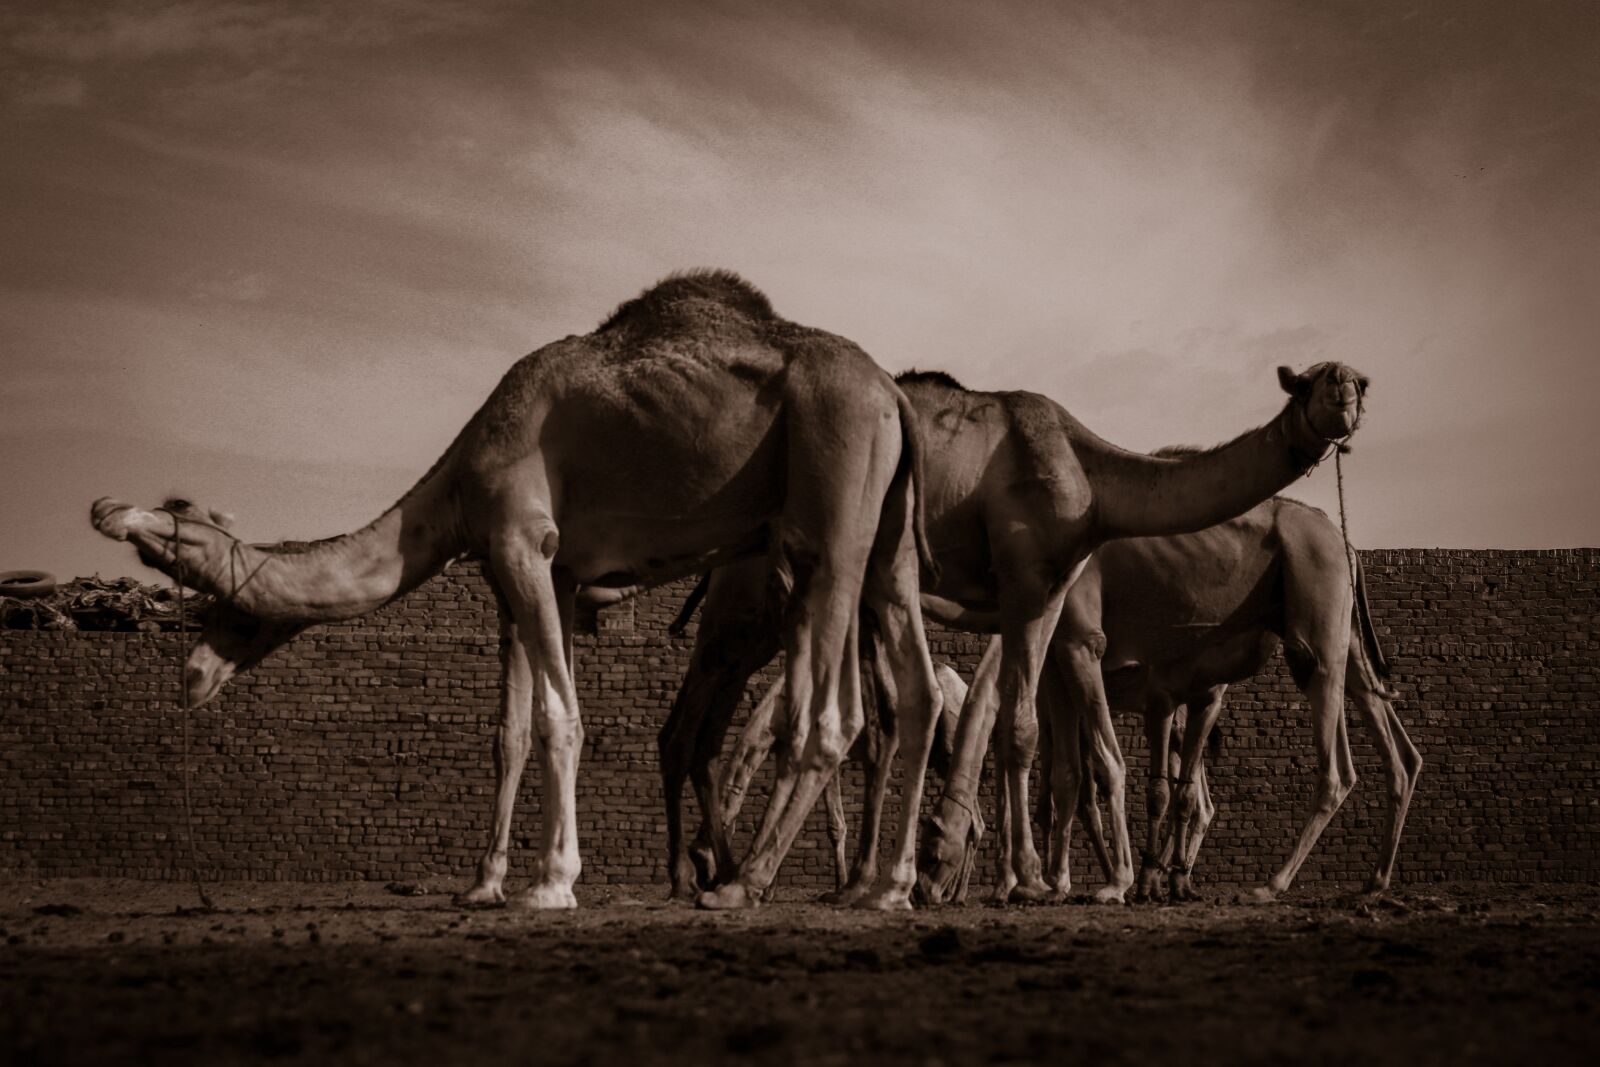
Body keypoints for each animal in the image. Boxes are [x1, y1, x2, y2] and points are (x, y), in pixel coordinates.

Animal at [90, 270, 945, 911]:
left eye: (230, 605)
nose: (191, 675)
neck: (460, 475)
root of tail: (892, 396)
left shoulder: (520, 539)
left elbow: (559, 717)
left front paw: (552, 882)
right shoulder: (540, 574)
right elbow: (510, 730)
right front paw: (484, 882)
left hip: (830, 512)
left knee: (836, 710)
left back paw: (744, 884)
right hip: (888, 541)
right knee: (920, 687)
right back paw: (888, 888)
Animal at [660, 361, 1370, 907]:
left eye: (1359, 380)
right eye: (1308, 382)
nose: (1344, 392)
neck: (1091, 478)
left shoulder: (1044, 593)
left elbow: (1022, 737)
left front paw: (1029, 879)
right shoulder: (1037, 592)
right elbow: (1055, 746)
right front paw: (1071, 880)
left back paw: (722, 868)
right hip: (750, 602)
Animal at [925, 495, 1423, 906]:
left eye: (933, 842)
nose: (926, 889)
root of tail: (1346, 545)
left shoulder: (1081, 646)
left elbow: (1098, 768)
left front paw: (1108, 880)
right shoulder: (1060, 670)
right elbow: (1066, 778)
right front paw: (1051, 881)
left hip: (1315, 628)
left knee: (1337, 768)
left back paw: (1269, 884)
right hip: (1346, 644)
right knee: (1398, 747)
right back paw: (1374, 882)